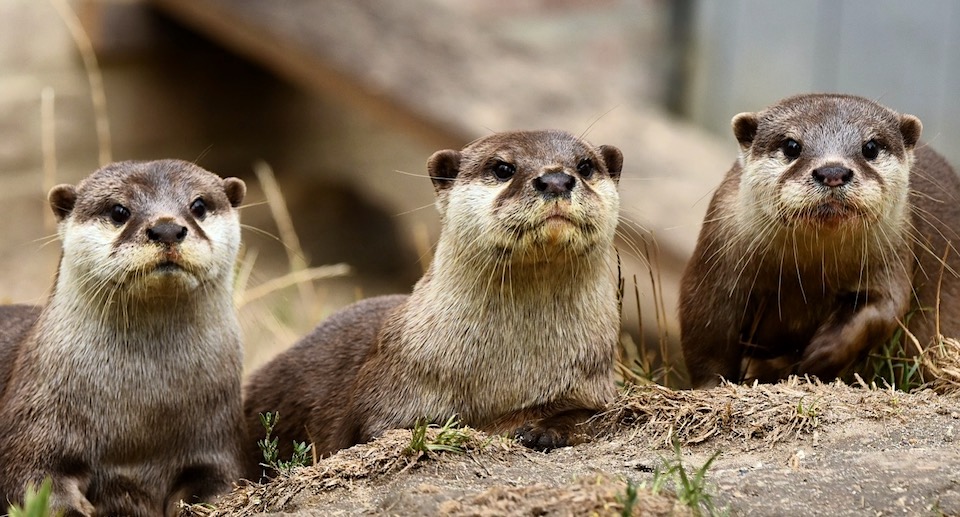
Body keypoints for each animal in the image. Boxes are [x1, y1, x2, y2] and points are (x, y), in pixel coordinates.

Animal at [0, 159, 248, 512]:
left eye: (198, 205)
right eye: (119, 211)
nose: (167, 229)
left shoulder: (218, 435)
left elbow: (220, 482)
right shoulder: (34, 421)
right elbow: (33, 483)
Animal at [244, 130, 628, 476]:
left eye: (585, 165)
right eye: (503, 168)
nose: (556, 179)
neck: (508, 375)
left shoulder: (593, 378)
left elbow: (591, 414)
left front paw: (543, 428)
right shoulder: (389, 390)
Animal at [680, 92, 960, 388]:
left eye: (871, 147)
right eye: (791, 146)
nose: (833, 171)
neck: (808, 278)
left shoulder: (892, 260)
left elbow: (881, 309)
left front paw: (819, 355)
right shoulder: (717, 266)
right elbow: (708, 334)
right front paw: (711, 385)